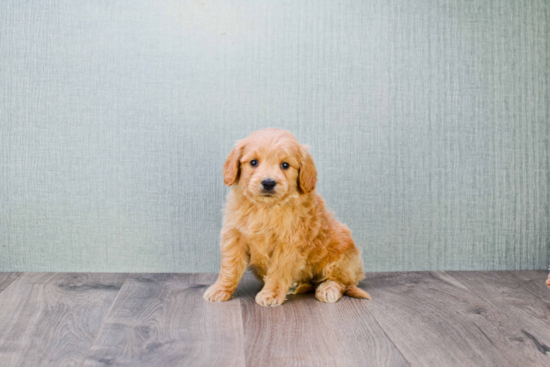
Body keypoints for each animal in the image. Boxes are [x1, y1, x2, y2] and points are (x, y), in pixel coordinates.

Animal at [203, 128, 370, 306]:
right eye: (253, 163)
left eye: (285, 165)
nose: (268, 183)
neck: (265, 208)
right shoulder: (235, 237)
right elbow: (230, 267)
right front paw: (220, 290)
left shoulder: (289, 243)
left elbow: (279, 271)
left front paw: (270, 294)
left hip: (341, 257)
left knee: (341, 281)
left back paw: (327, 289)